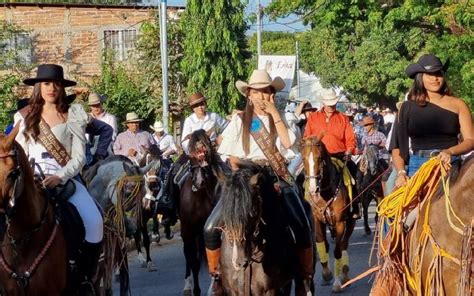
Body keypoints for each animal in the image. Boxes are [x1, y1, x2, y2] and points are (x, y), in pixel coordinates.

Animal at [181, 130, 227, 296]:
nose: (198, 181)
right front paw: (195, 289)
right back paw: (188, 286)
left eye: (206, 150)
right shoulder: (188, 231)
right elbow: (193, 262)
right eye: (191, 153)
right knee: (188, 256)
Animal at [300, 136, 356, 292]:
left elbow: (337, 251)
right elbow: (322, 244)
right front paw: (326, 274)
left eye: (319, 158)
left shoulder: (340, 223)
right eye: (303, 158)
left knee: (343, 244)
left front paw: (336, 282)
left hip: (351, 221)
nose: (313, 189)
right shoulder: (317, 220)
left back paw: (344, 273)